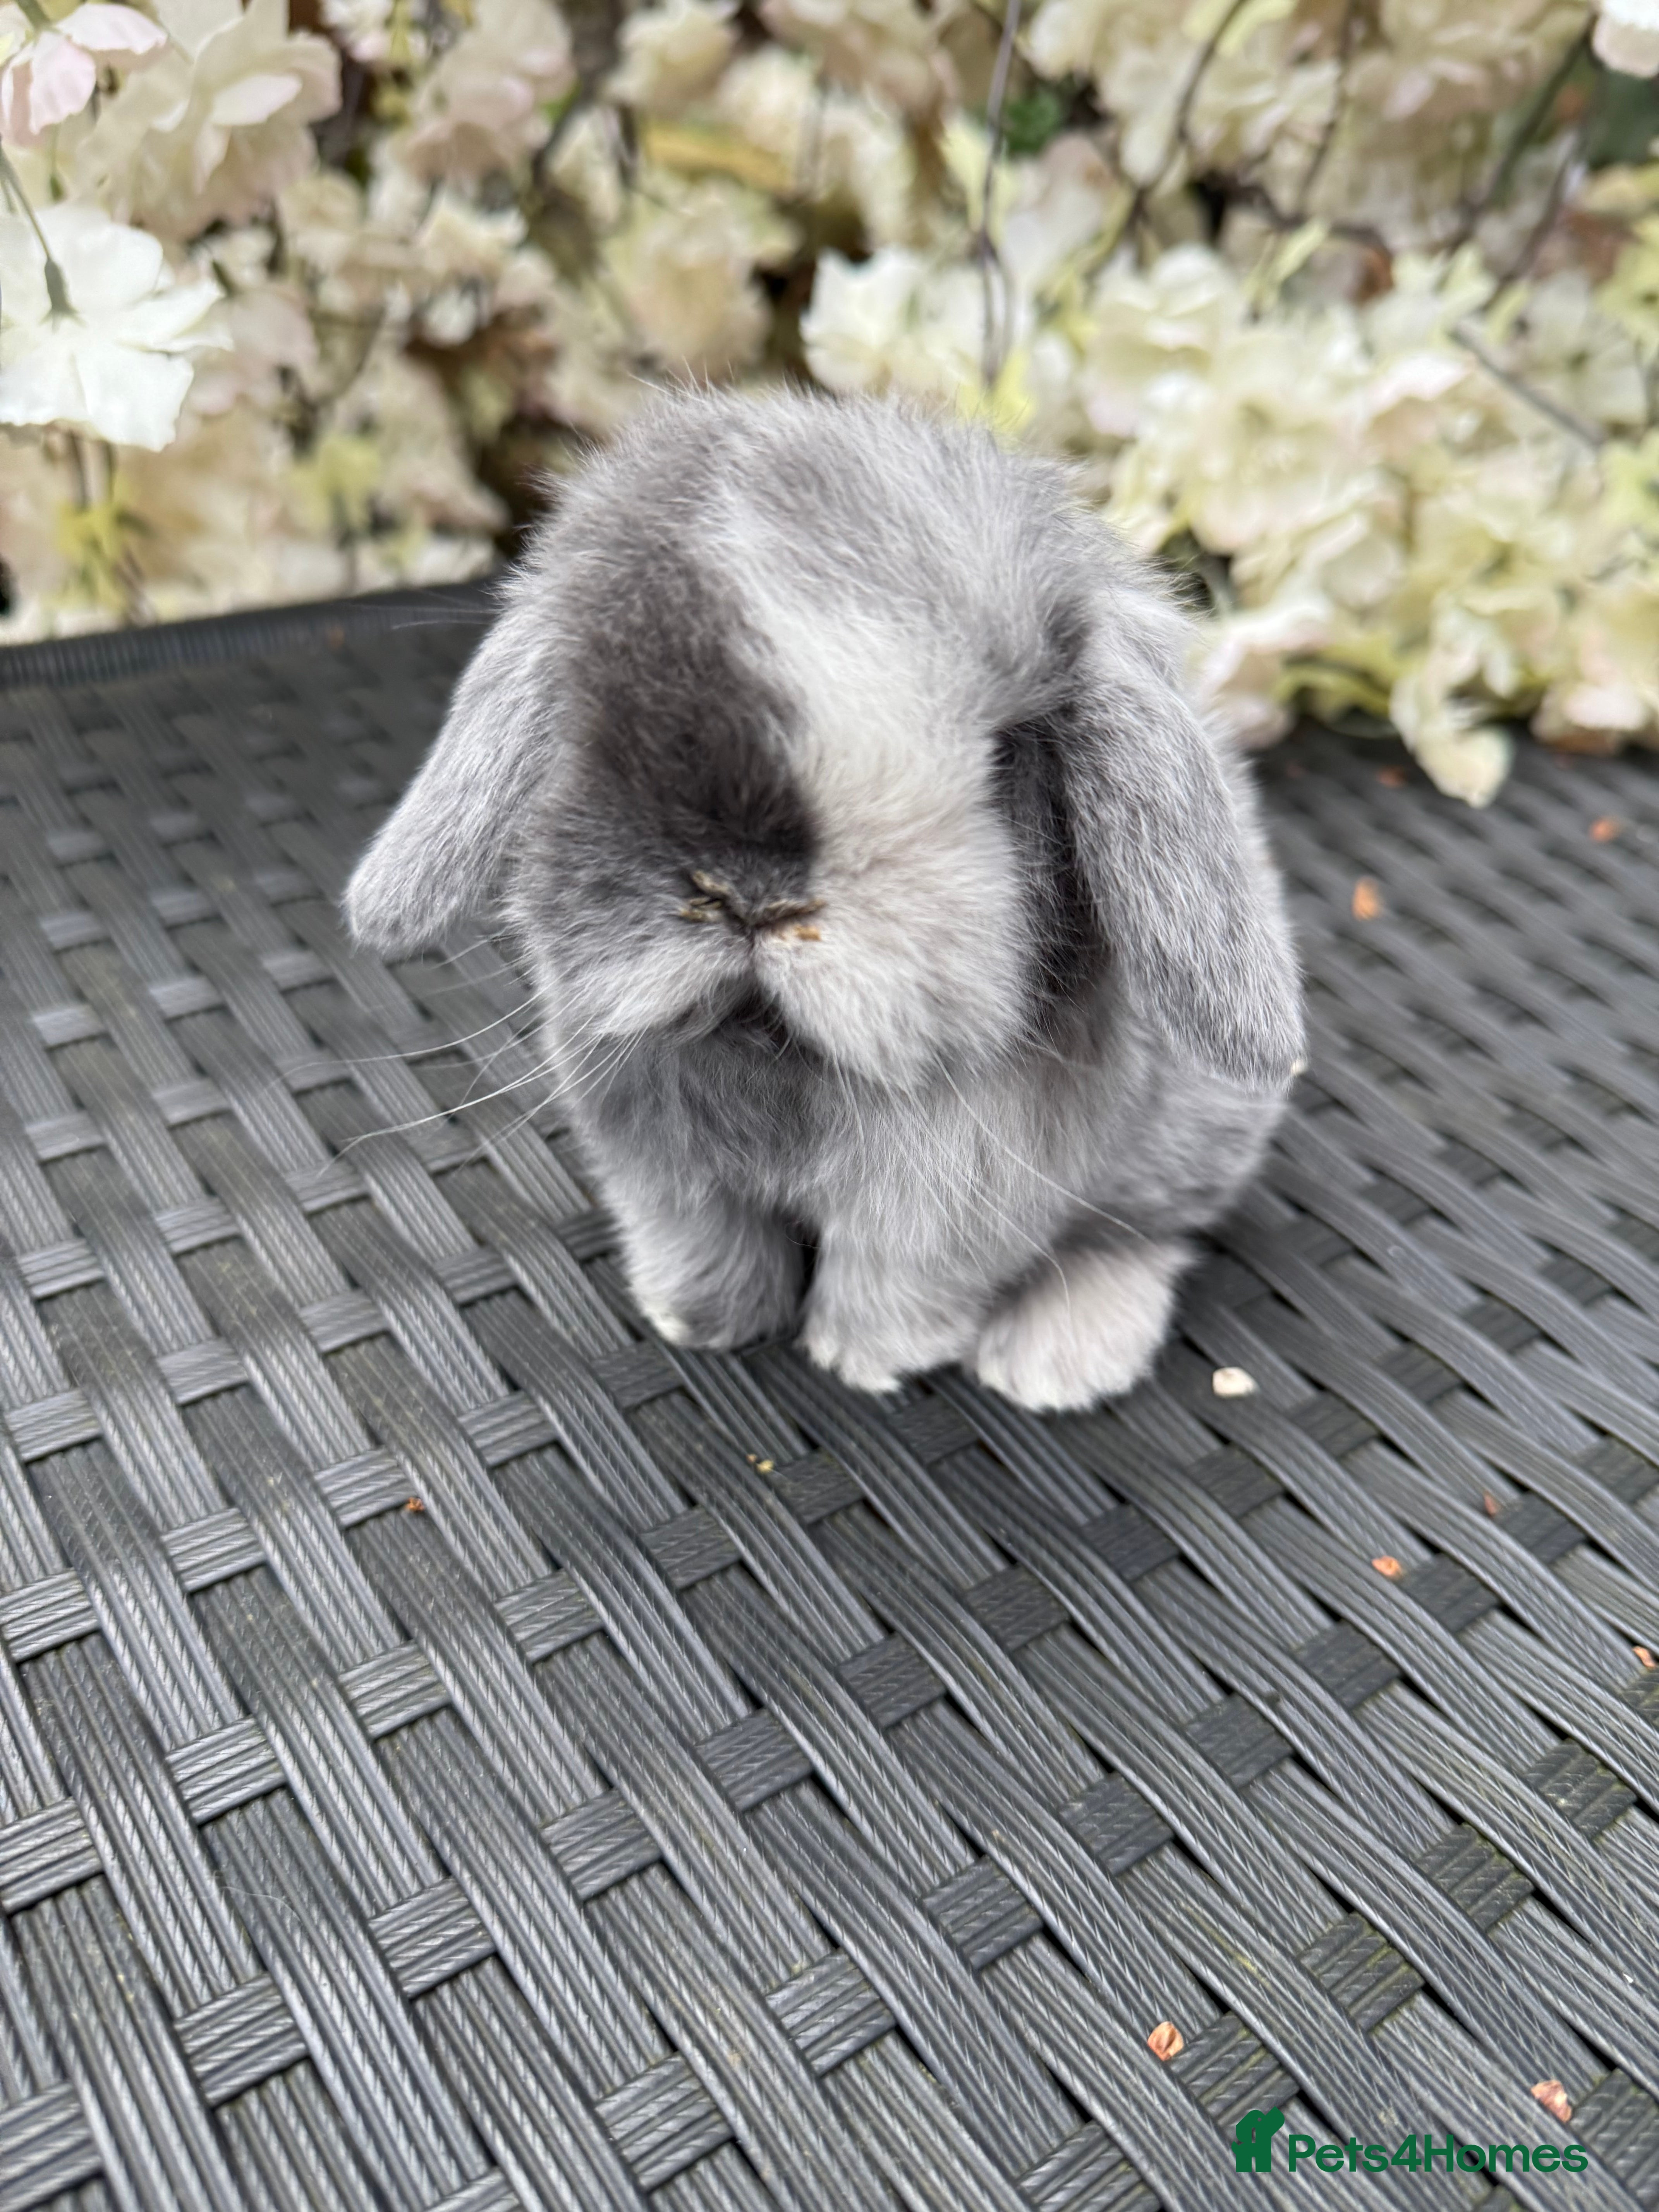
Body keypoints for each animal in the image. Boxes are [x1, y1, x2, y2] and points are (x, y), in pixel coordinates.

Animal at [344, 388, 1303, 1412]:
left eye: (1005, 755)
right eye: (602, 711)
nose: (751, 896)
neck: (783, 1055)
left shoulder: (946, 1210)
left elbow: (894, 1282)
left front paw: (863, 1363)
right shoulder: (669, 1180)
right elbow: (704, 1244)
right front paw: (700, 1323)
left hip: (1189, 1139)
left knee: (1142, 1236)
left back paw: (1056, 1358)